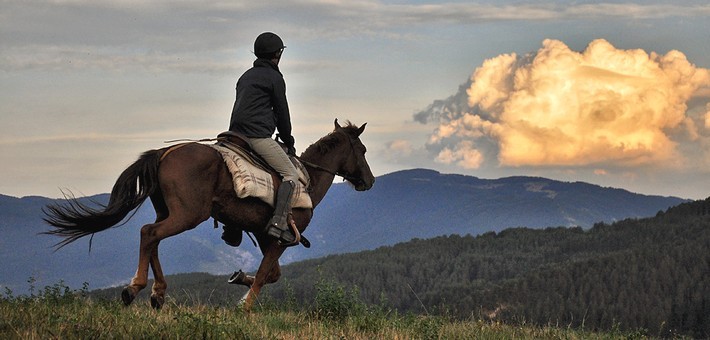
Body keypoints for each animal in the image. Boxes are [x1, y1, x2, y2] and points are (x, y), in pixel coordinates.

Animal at [43, 119, 378, 310]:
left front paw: (239, 277)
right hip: (188, 214)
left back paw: (157, 293)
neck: (306, 179)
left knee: (153, 239)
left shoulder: (264, 235)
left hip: (170, 211)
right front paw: (245, 305)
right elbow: (266, 275)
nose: (370, 180)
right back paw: (135, 287)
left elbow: (271, 274)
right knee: (149, 233)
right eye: (362, 150)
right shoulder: (281, 239)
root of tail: (164, 153)